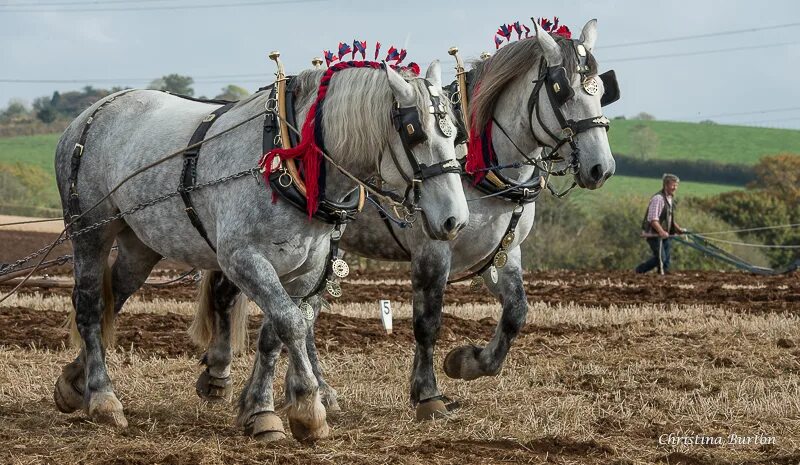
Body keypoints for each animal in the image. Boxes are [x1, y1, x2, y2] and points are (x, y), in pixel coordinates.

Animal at [53, 59, 468, 440]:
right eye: (414, 134)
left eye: (456, 135)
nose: (455, 220)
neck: (290, 162)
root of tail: (89, 114)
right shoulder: (244, 260)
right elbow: (291, 324)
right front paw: (307, 409)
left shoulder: (304, 270)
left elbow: (276, 333)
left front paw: (260, 410)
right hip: (90, 232)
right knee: (89, 306)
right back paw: (103, 397)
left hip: (139, 247)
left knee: (113, 299)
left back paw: (73, 382)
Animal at [195, 19, 620, 420]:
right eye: (562, 90)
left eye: (601, 89)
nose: (602, 168)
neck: (479, 160)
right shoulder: (433, 250)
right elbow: (427, 322)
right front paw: (428, 394)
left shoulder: (504, 252)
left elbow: (516, 312)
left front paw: (469, 362)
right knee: (233, 294)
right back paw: (220, 373)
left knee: (304, 314)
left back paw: (316, 391)